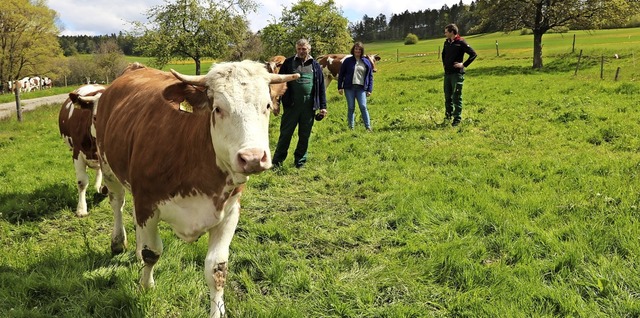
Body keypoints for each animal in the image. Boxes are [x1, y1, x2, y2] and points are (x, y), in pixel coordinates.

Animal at [82, 60, 300, 316]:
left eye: (266, 105)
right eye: (218, 109)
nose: (253, 158)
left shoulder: (230, 211)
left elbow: (217, 268)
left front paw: (218, 310)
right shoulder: (147, 202)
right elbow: (151, 252)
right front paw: (146, 287)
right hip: (107, 166)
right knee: (118, 202)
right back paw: (118, 242)